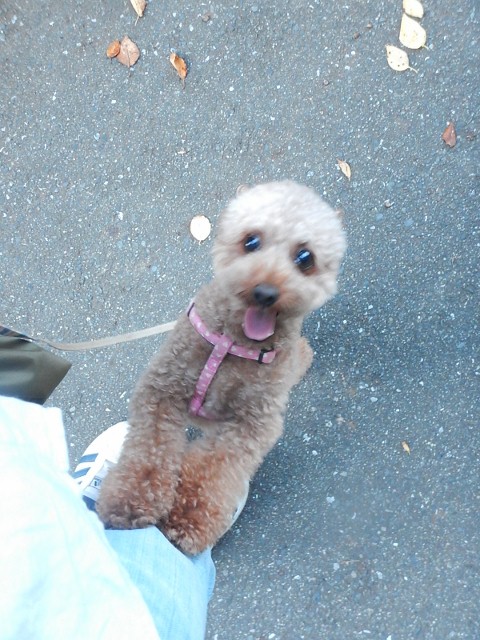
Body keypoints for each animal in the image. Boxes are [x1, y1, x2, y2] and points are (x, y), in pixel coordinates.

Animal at [96, 180, 346, 554]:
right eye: (251, 241)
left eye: (305, 258)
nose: (265, 291)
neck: (234, 346)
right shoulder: (162, 388)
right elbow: (150, 453)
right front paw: (131, 501)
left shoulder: (251, 425)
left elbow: (212, 473)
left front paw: (187, 519)